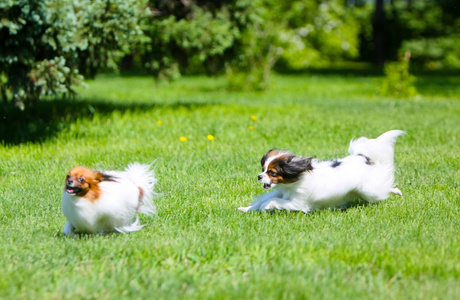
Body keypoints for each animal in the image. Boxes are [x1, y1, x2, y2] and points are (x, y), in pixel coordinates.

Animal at [239, 130, 404, 212]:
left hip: (370, 191)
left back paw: (397, 191)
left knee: (385, 188)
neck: (290, 185)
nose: (259, 176)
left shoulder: (298, 204)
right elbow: (263, 200)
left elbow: (271, 201)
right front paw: (246, 209)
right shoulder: (278, 193)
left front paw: (264, 208)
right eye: (263, 169)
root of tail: (362, 156)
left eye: (272, 172)